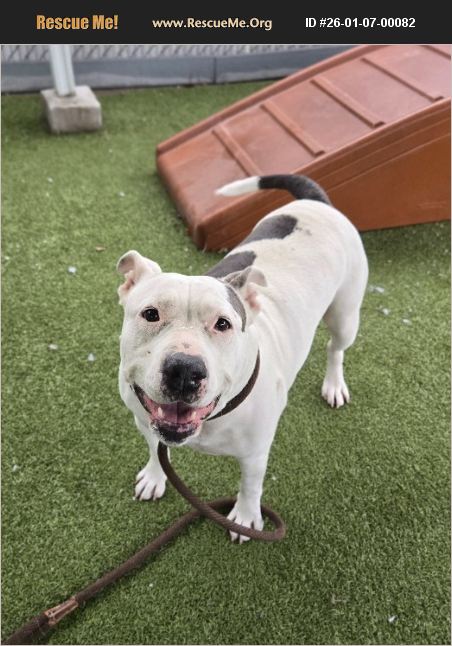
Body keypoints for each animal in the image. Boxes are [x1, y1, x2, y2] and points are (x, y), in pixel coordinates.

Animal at [117, 174, 368, 543]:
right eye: (151, 314)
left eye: (223, 323)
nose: (184, 370)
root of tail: (316, 202)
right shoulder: (143, 418)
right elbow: (154, 448)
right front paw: (154, 476)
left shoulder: (255, 452)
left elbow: (251, 486)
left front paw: (247, 518)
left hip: (345, 315)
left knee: (335, 348)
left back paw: (334, 384)